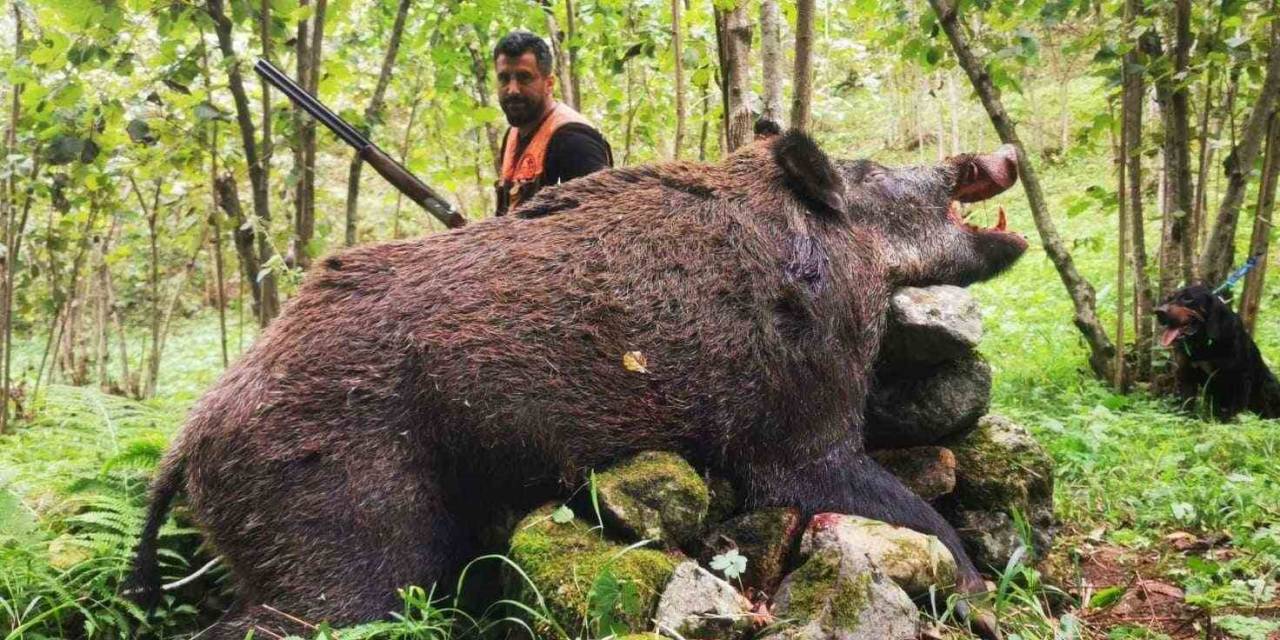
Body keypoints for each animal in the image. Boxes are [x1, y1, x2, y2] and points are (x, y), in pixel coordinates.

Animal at [1157, 285, 1274, 419]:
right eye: (1169, 298)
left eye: (1188, 298)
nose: (1158, 312)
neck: (1203, 344)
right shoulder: (1187, 374)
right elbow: (1186, 404)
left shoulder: (1241, 378)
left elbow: (1235, 410)